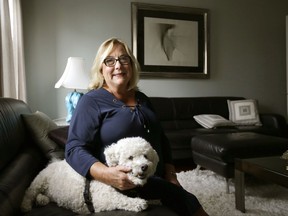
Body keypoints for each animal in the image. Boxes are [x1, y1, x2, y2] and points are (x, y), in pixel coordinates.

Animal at [21, 137, 159, 214]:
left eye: (146, 156)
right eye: (130, 157)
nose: (144, 166)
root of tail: (52, 163)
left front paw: (154, 200)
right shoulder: (103, 200)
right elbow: (121, 200)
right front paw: (138, 203)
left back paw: (42, 199)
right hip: (39, 182)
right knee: (29, 193)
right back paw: (25, 206)